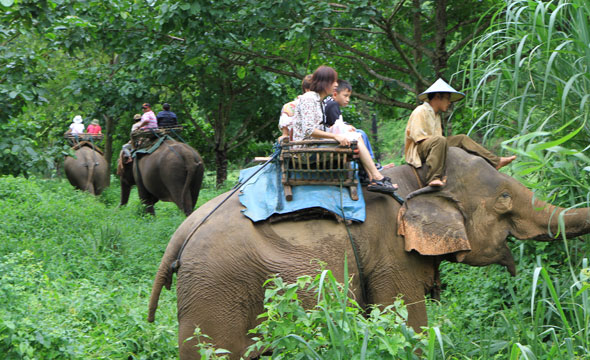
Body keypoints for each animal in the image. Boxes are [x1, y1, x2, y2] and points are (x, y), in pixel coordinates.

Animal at [147, 147, 590, 360]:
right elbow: (407, 324)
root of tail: (179, 237)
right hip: (215, 289)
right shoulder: (393, 255)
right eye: (503, 199)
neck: (413, 178)